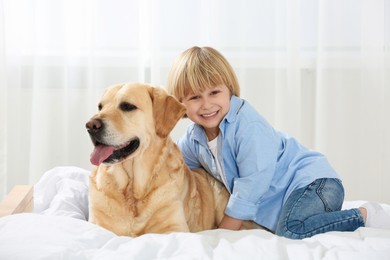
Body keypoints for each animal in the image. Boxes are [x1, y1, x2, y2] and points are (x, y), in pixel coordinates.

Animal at [84, 82, 258, 237]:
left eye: (127, 106)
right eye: (100, 106)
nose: (90, 125)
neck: (132, 190)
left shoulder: (174, 228)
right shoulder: (97, 225)